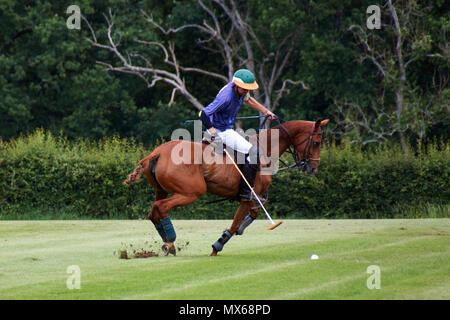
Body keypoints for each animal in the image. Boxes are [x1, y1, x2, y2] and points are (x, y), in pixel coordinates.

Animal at [125, 119, 328, 256]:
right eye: (316, 142)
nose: (313, 168)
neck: (265, 149)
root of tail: (155, 153)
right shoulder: (249, 195)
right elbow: (236, 222)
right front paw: (217, 246)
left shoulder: (248, 196)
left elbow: (252, 215)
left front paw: (238, 231)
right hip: (191, 192)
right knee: (161, 208)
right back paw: (171, 243)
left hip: (161, 190)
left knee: (153, 212)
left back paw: (167, 243)